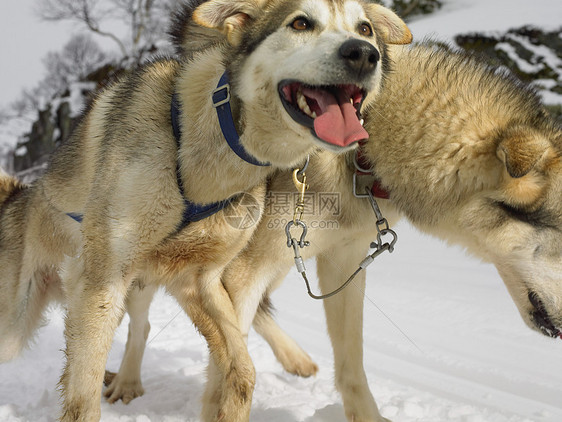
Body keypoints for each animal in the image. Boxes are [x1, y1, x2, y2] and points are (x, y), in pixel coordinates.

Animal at [1, 0, 412, 422]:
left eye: (365, 29)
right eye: (300, 23)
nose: (363, 53)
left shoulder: (201, 279)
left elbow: (242, 370)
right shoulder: (102, 280)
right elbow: (83, 394)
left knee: (142, 328)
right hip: (18, 320)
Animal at [107, 41, 556, 420]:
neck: (364, 145)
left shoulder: (342, 263)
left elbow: (351, 363)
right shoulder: (239, 271)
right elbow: (227, 372)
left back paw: (296, 359)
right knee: (142, 322)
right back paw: (125, 383)